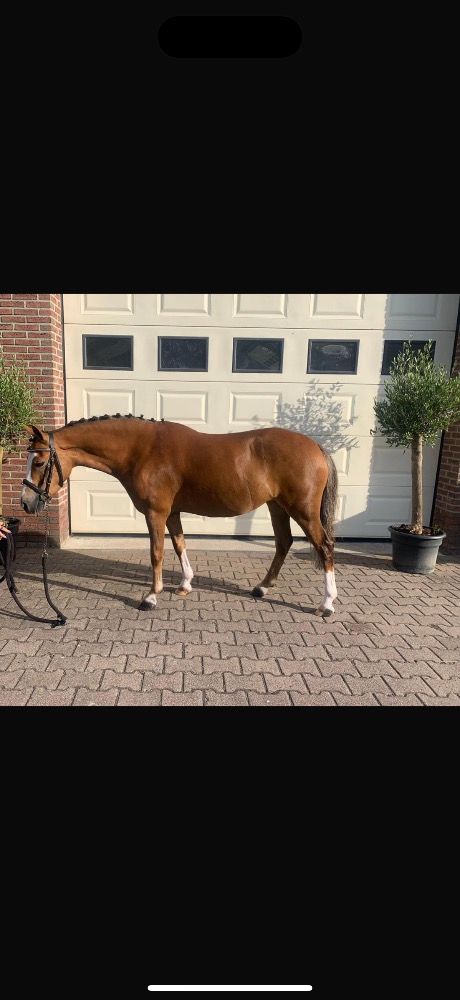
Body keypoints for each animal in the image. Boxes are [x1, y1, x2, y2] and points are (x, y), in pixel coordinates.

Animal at [21, 415, 339, 614]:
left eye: (39, 462)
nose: (26, 503)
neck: (142, 449)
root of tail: (316, 446)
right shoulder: (172, 513)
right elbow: (179, 544)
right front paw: (185, 585)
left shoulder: (156, 513)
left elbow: (157, 553)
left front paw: (151, 597)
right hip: (277, 506)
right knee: (284, 543)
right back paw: (262, 588)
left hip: (303, 511)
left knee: (324, 547)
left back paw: (326, 604)